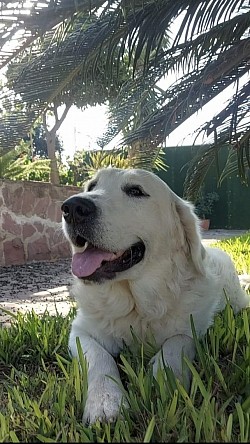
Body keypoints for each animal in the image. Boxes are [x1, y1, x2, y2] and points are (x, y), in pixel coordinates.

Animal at [61, 166, 249, 424]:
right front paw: (105, 400)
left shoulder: (193, 327)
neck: (137, 306)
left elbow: (176, 343)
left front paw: (163, 379)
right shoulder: (80, 331)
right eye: (91, 187)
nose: (72, 207)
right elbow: (99, 358)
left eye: (136, 191)